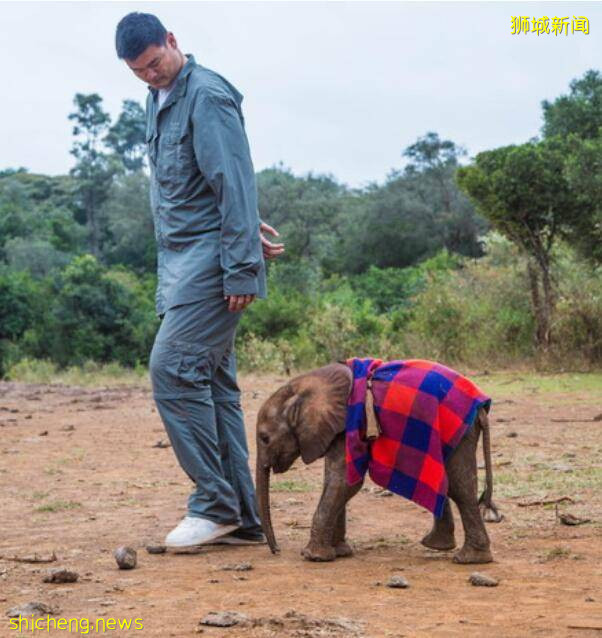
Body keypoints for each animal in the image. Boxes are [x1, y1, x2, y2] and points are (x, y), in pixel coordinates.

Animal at [254, 362, 502, 568]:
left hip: (461, 432)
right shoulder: (337, 428)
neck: (301, 387)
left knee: (459, 486)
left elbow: (343, 482)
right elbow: (335, 479)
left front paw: (313, 557)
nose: (276, 550)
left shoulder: (348, 421)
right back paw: (439, 546)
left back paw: (468, 559)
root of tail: (482, 405)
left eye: (265, 438)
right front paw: (340, 552)